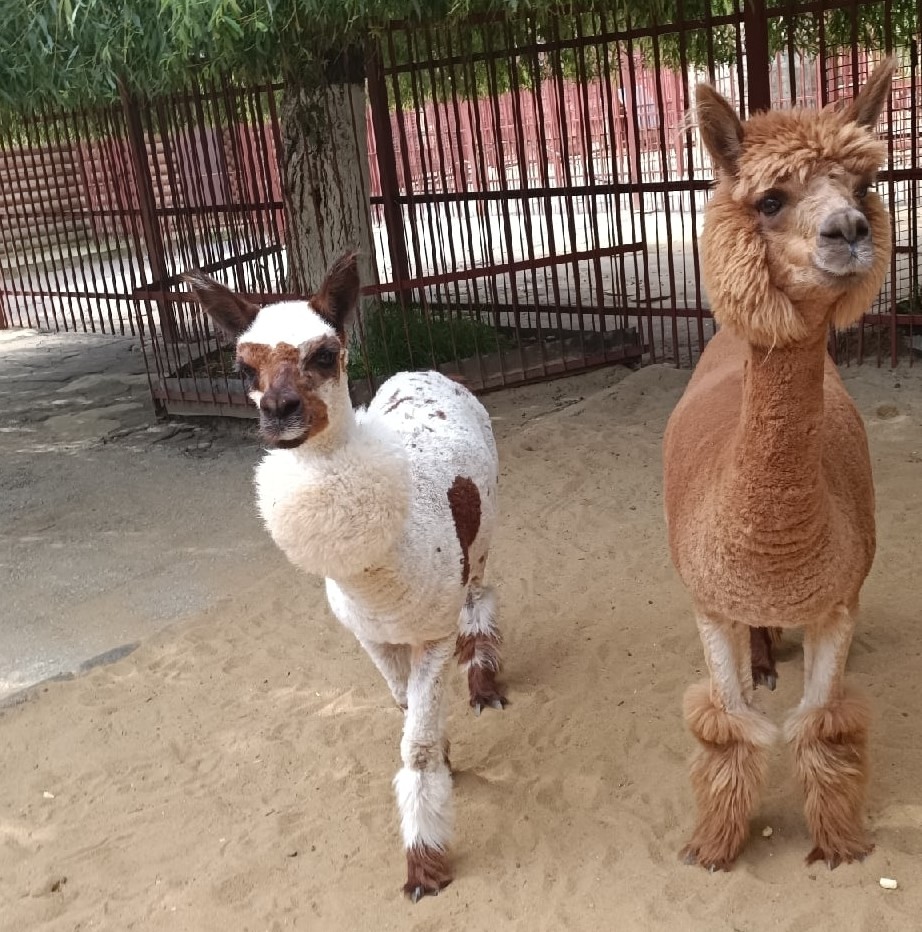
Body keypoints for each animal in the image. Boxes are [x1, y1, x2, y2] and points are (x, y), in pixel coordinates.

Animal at [663, 59, 895, 871]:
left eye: (863, 185)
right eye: (770, 199)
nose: (848, 231)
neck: (776, 555)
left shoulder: (839, 601)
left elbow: (822, 724)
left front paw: (839, 844)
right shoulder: (707, 601)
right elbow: (727, 725)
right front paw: (714, 846)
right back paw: (764, 657)